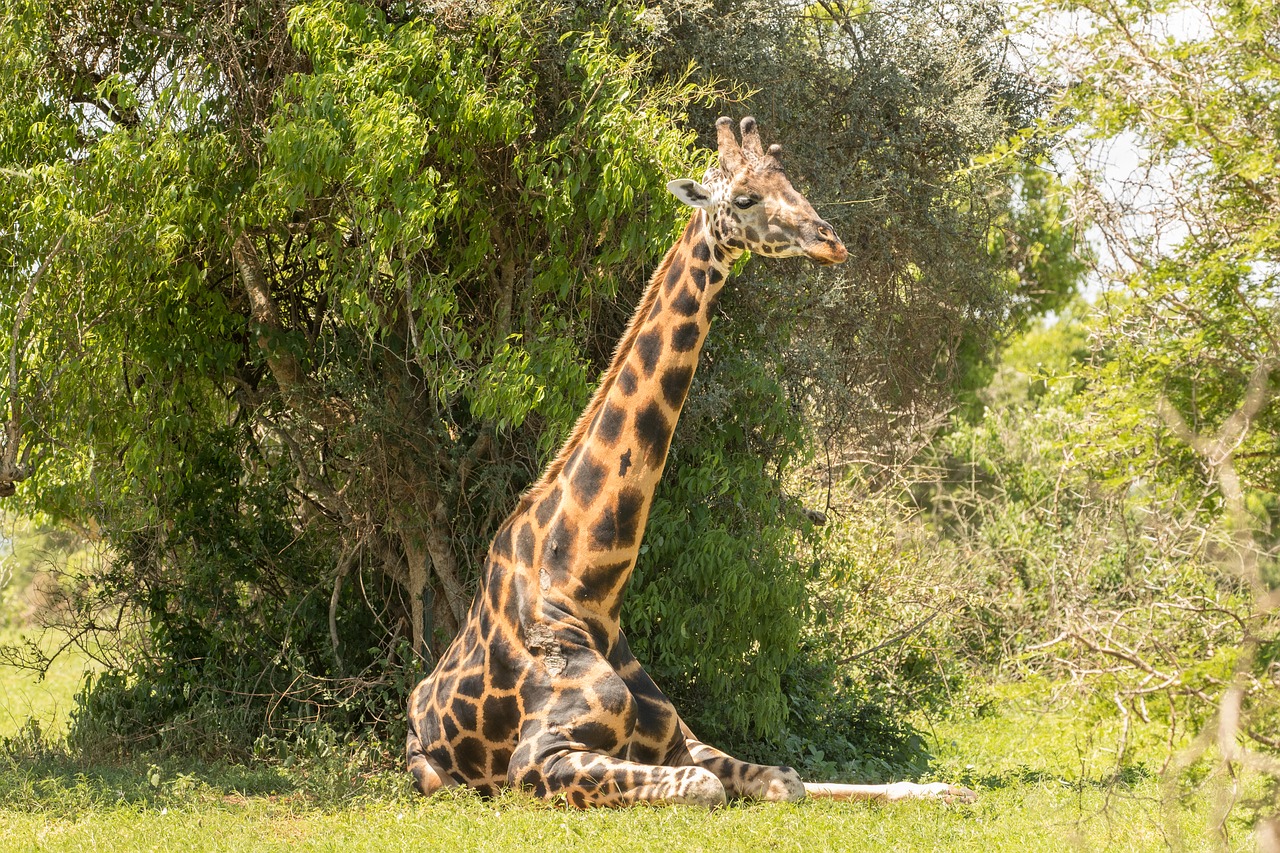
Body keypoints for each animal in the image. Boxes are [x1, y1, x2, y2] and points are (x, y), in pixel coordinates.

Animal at [404, 117, 972, 804]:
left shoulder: (678, 738)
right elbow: (706, 787)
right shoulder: (536, 759)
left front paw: (943, 789)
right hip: (437, 776)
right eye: (746, 198)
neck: (588, 588)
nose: (830, 242)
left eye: (793, 182)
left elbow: (786, 779)